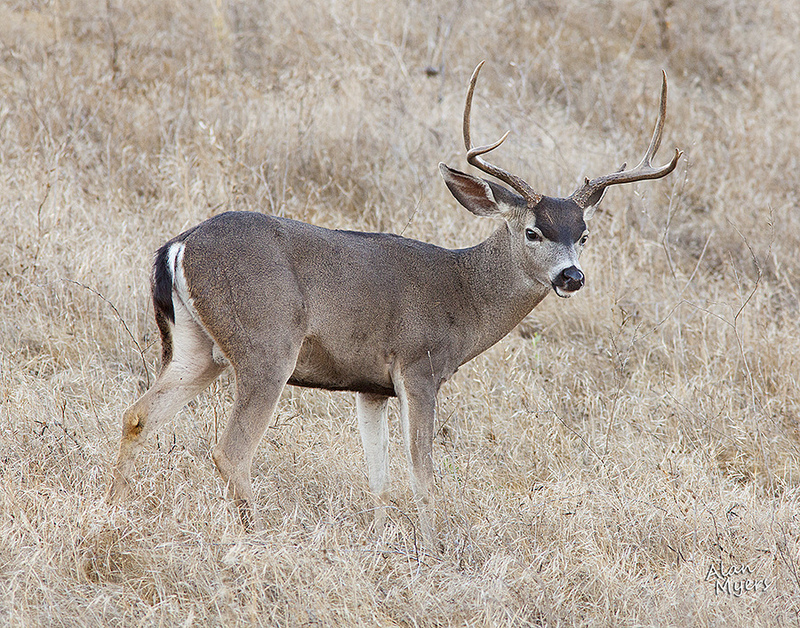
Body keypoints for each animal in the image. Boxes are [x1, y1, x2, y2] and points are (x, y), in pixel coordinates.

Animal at [108, 60, 680, 548]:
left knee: (138, 415)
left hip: (196, 347)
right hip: (265, 344)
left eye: (583, 235)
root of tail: (179, 245)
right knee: (230, 450)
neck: (462, 294)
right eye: (533, 231)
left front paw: (384, 540)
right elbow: (422, 472)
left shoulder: (370, 385)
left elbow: (378, 475)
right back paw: (256, 534)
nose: (571, 276)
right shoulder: (418, 365)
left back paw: (115, 509)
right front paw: (432, 549)